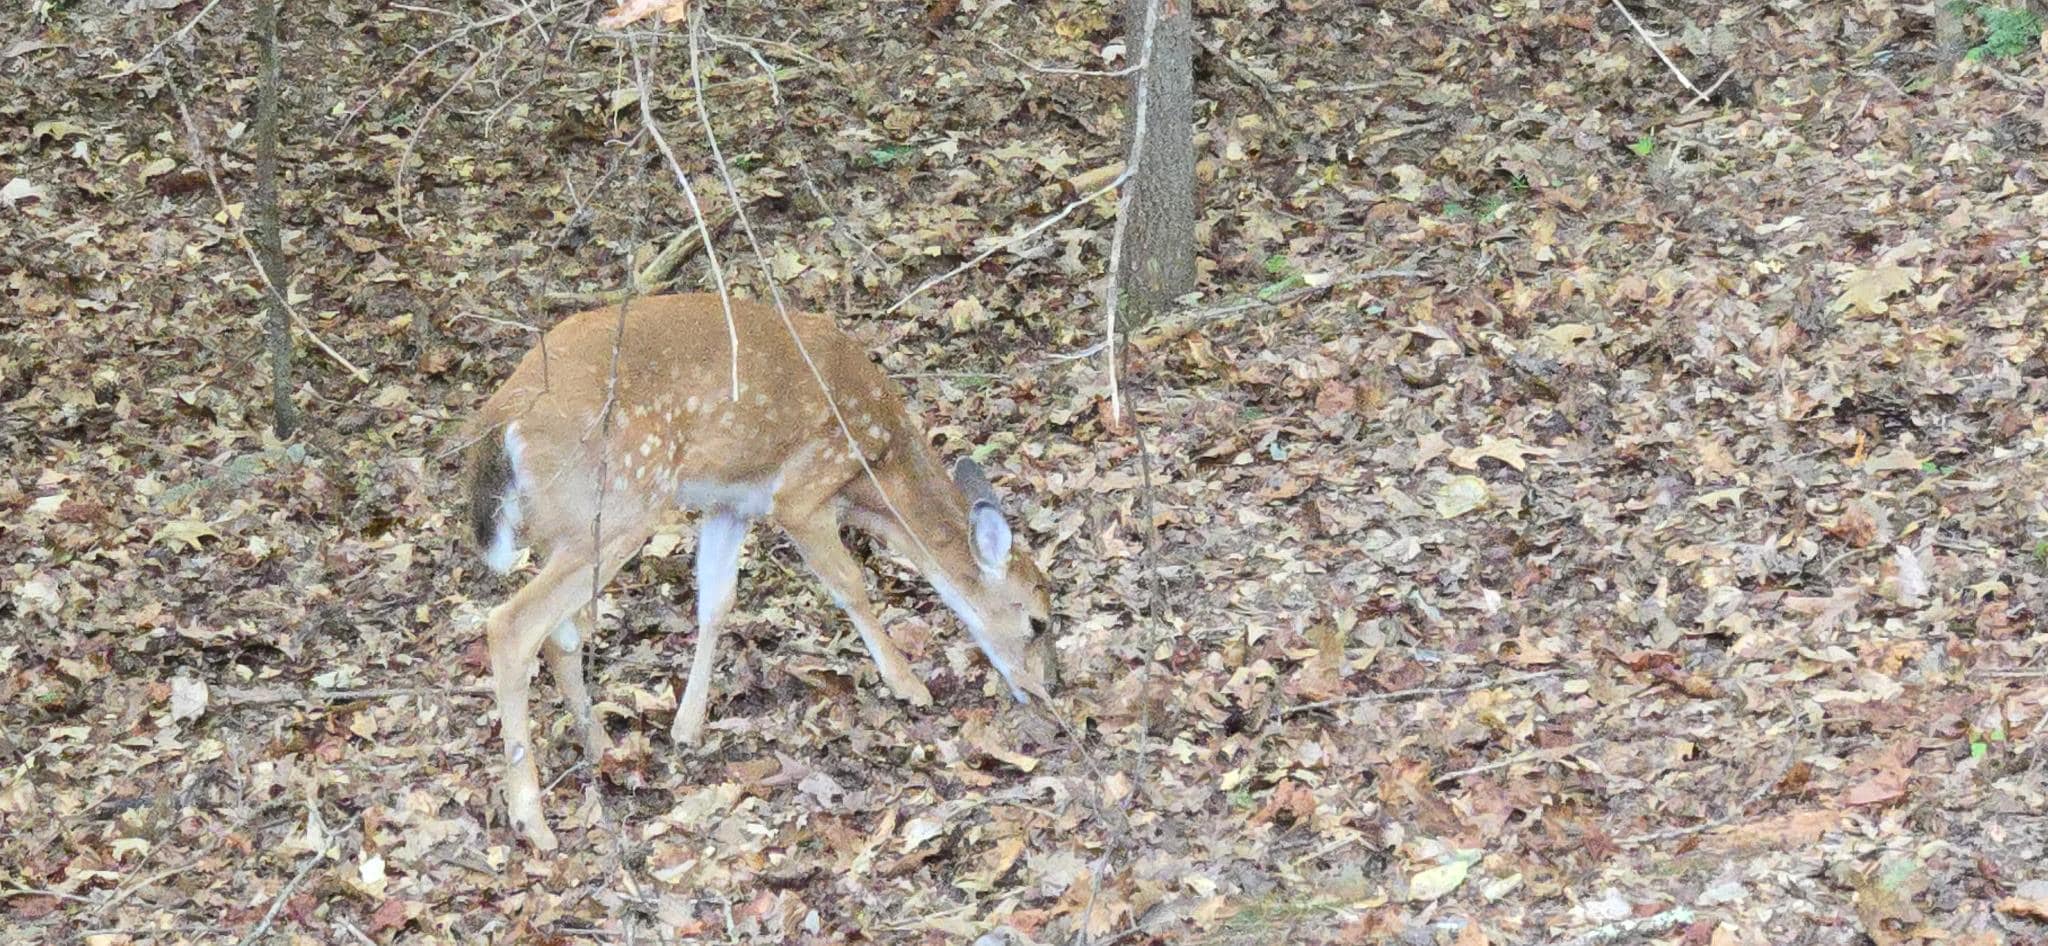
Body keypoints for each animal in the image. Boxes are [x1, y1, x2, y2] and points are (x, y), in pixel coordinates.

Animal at [459, 293, 1058, 851]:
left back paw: (601, 747)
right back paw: (532, 821)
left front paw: (687, 726)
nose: (1045, 693)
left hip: (569, 526)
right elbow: (852, 586)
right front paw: (909, 685)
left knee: (561, 631)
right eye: (1037, 622)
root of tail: (500, 419)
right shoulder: (801, 493)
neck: (876, 471)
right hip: (621, 504)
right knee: (512, 624)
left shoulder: (732, 502)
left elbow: (716, 601)